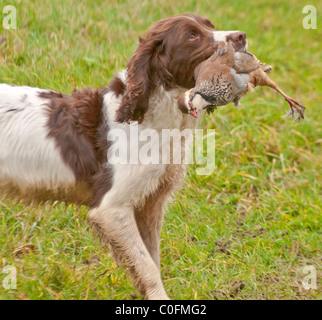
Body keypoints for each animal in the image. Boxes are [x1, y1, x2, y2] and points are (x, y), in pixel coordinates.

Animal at [0, 14, 247, 300]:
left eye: (210, 25)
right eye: (192, 36)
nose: (241, 36)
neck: (152, 118)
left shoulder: (150, 203)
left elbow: (151, 258)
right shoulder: (111, 209)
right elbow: (146, 264)